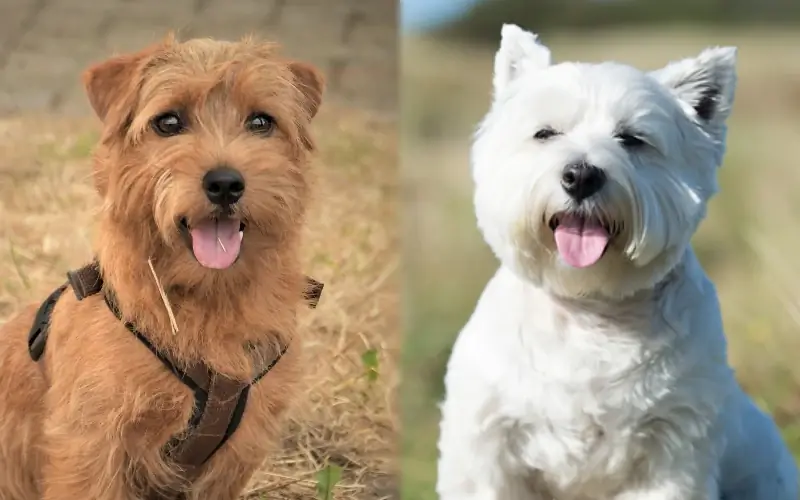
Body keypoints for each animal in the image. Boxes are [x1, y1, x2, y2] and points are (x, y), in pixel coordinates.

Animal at [0, 36, 326, 500]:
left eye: (261, 121)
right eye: (168, 122)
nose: (225, 183)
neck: (206, 302)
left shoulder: (233, 458)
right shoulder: (91, 445)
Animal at [438, 23, 800, 500]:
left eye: (632, 139)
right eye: (545, 133)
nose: (580, 176)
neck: (590, 309)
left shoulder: (672, 453)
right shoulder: (489, 447)